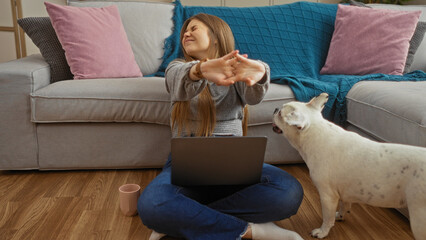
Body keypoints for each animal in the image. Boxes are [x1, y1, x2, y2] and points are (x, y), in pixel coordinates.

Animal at [272, 93, 426, 239]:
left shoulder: (327, 195)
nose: (275, 109)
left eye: (280, 114)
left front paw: (322, 232)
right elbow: (344, 204)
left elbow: (327, 217)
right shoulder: (344, 192)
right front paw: (340, 215)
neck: (315, 132)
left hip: (419, 217)